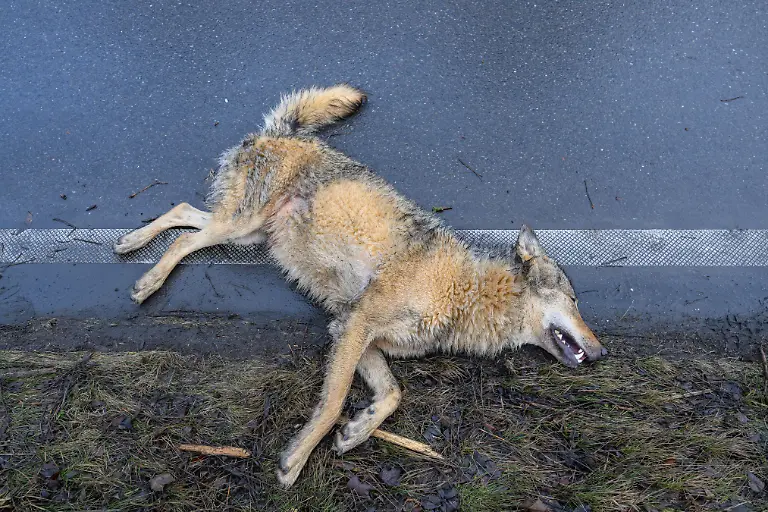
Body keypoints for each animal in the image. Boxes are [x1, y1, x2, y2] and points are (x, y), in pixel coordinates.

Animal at [114, 84, 607, 487]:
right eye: (574, 301)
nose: (602, 352)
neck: (465, 291)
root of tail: (288, 132)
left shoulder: (356, 333)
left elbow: (391, 394)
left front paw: (355, 432)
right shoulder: (356, 325)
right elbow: (333, 403)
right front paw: (296, 459)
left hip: (246, 235)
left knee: (182, 213)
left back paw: (131, 242)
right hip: (240, 227)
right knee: (185, 238)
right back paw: (148, 281)